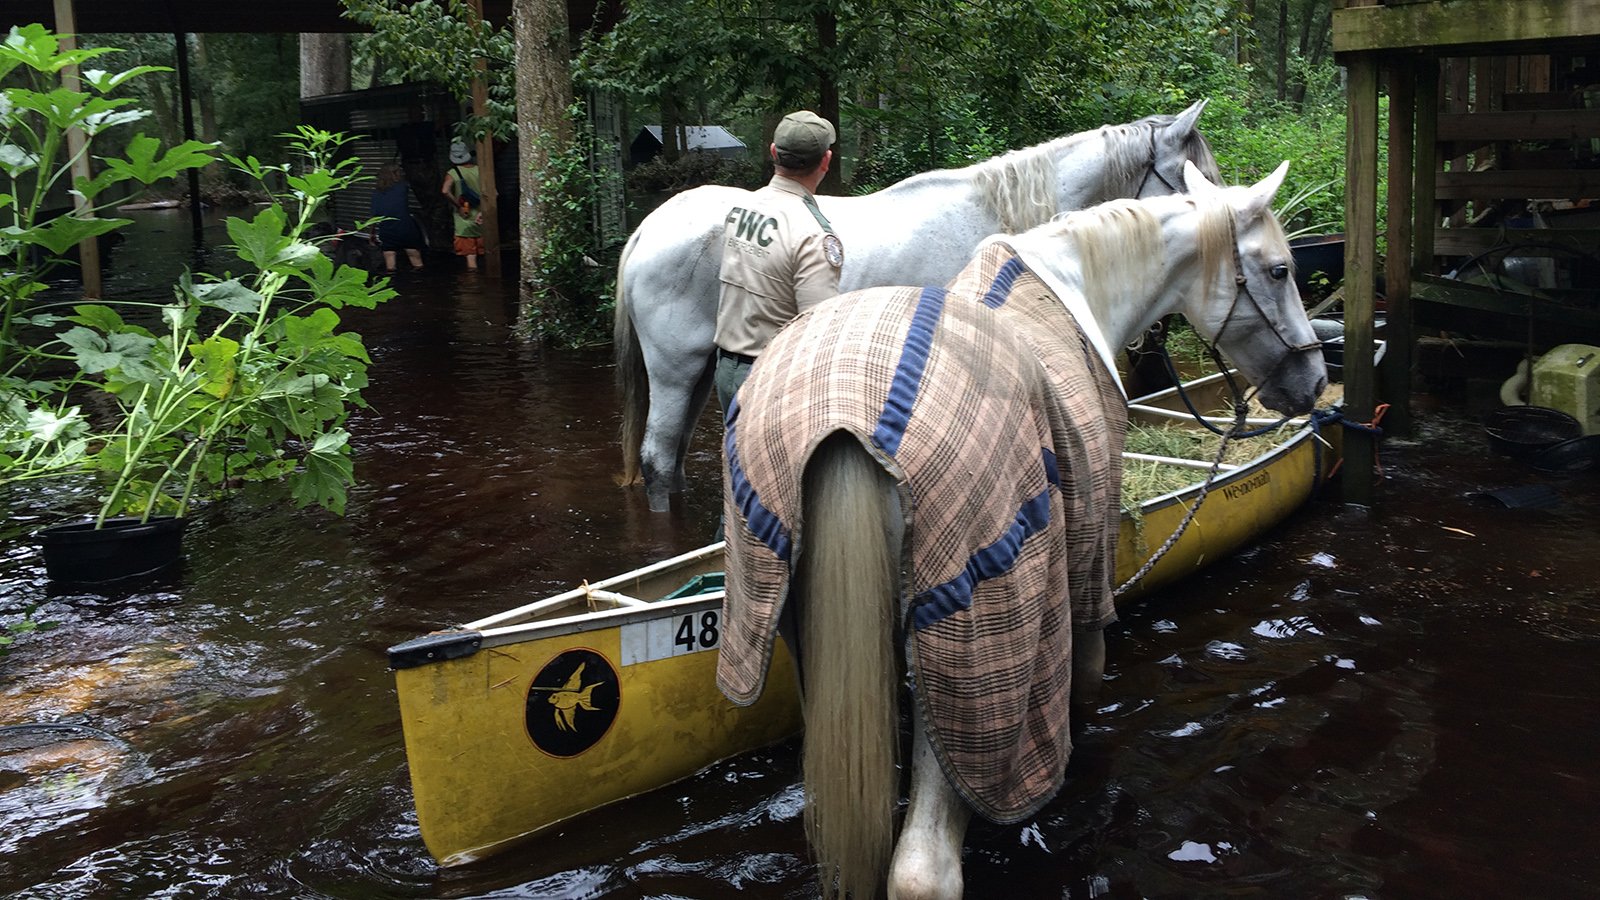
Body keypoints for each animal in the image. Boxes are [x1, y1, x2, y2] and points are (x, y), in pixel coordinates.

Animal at [717, 161, 1325, 900]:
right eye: (1279, 270)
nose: (1314, 379)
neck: (1075, 288)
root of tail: (846, 418)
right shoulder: (1086, 582)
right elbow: (1084, 687)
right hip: (965, 655)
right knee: (923, 872)